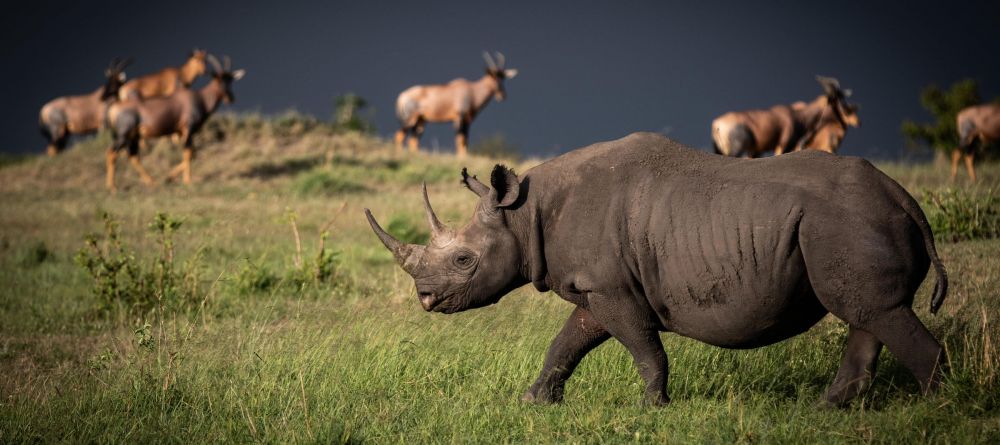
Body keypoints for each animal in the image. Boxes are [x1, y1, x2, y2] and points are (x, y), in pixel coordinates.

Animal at [105, 54, 244, 190]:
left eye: (230, 79)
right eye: (218, 79)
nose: (230, 98)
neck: (199, 98)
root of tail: (114, 108)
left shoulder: (182, 132)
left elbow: (193, 154)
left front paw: (169, 177)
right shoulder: (188, 129)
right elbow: (188, 152)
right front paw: (187, 181)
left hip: (134, 136)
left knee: (133, 156)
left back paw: (152, 181)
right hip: (123, 135)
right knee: (112, 153)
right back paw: (112, 187)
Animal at [716, 76, 856, 158]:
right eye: (835, 101)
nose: (843, 123)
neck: (796, 116)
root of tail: (717, 124)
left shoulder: (757, 150)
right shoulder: (783, 145)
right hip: (735, 148)